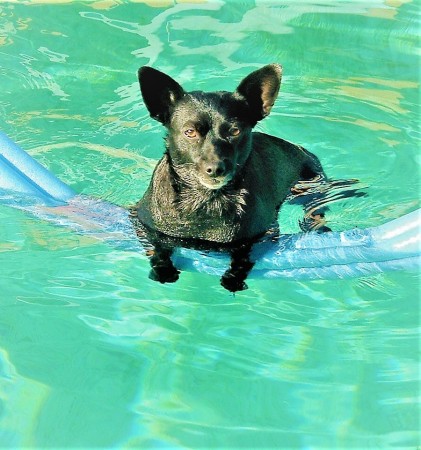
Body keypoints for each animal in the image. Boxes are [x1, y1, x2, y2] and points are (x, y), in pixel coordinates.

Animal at [133, 64, 330, 292]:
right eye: (189, 132)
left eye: (235, 131)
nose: (216, 168)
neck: (205, 201)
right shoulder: (141, 224)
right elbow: (157, 247)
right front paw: (163, 269)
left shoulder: (262, 237)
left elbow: (244, 258)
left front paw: (233, 278)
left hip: (310, 185)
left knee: (315, 210)